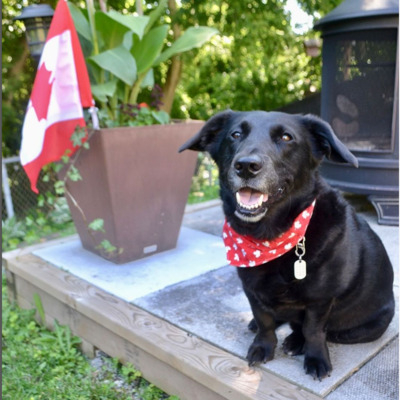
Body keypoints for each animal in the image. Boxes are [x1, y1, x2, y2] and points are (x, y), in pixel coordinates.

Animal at [180, 111, 396, 380]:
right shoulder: (251, 289)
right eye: (235, 134)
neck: (269, 239)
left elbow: (313, 329)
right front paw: (263, 346)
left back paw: (296, 341)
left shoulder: (321, 300)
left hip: (367, 326)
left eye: (286, 137)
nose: (246, 166)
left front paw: (315, 358)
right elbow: (264, 321)